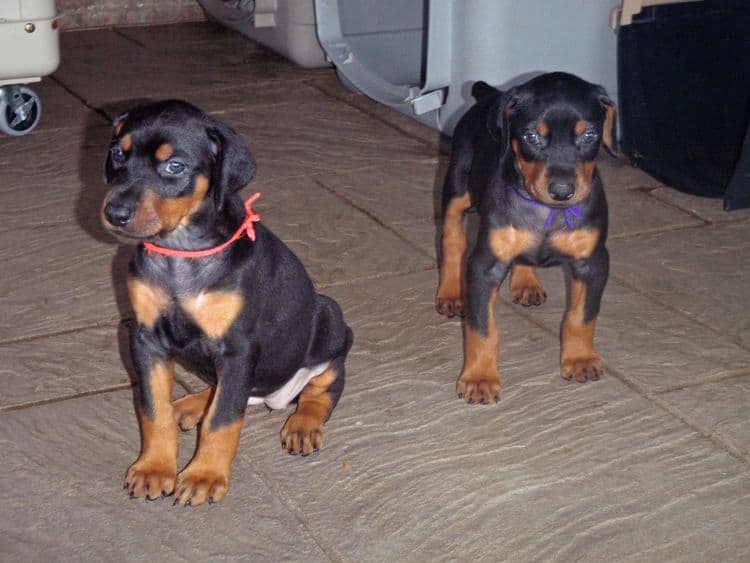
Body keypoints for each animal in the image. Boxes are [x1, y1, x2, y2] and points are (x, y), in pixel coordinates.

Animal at [100, 100, 356, 506]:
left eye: (175, 166)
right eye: (117, 154)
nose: (115, 214)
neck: (181, 251)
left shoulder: (238, 349)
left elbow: (222, 419)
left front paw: (203, 476)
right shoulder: (145, 339)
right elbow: (154, 410)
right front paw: (154, 468)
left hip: (330, 323)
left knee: (323, 387)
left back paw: (303, 424)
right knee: (229, 393)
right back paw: (191, 405)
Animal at [438, 72, 620, 404]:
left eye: (589, 135)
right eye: (532, 137)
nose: (562, 191)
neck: (546, 212)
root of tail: (491, 94)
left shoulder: (593, 262)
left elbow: (582, 316)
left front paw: (580, 359)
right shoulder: (485, 266)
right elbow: (482, 329)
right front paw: (479, 378)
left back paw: (526, 283)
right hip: (456, 187)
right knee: (452, 241)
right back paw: (449, 293)